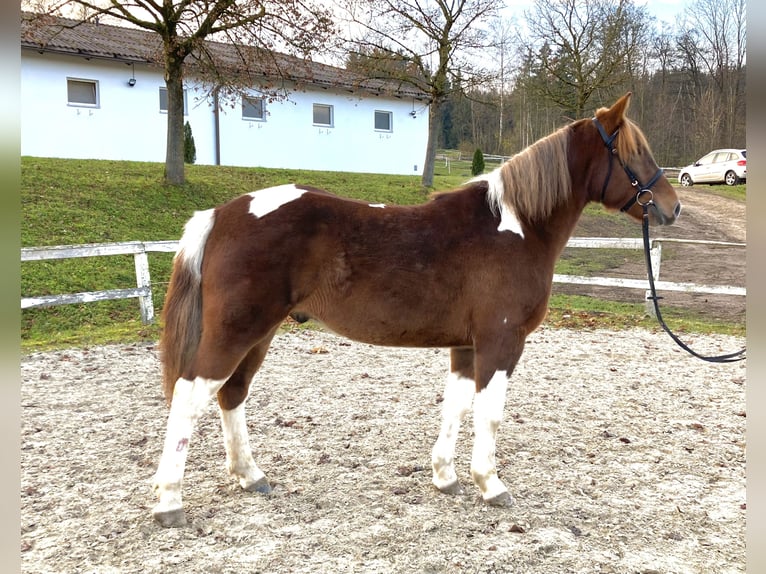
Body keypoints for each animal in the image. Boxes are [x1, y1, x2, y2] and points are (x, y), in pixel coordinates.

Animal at [153, 92, 680, 528]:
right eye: (634, 152)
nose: (671, 206)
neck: (515, 226)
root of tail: (220, 215)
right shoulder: (502, 342)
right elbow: (489, 414)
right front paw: (491, 485)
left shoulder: (465, 346)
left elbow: (456, 405)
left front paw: (446, 477)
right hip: (236, 331)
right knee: (189, 396)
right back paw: (170, 502)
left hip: (259, 335)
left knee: (232, 394)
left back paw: (250, 475)